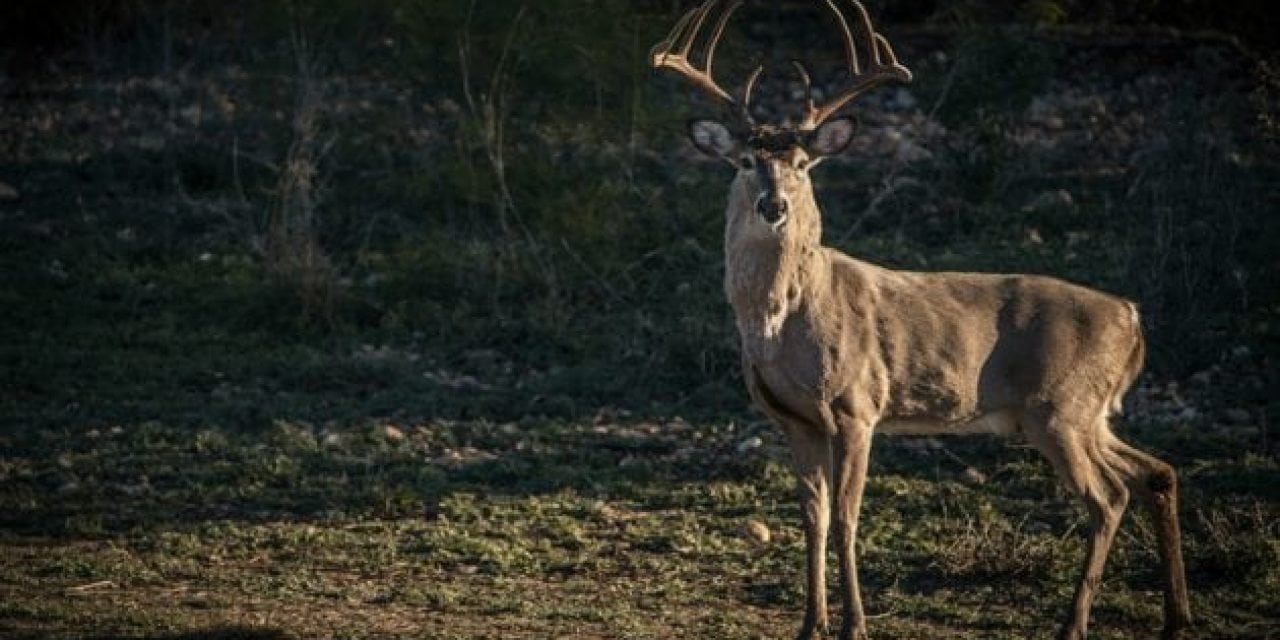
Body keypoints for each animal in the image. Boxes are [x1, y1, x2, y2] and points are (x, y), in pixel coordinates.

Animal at [655, 1, 1192, 640]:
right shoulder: (793, 418)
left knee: (1108, 497)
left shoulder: (857, 405)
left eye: (804, 164)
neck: (783, 325)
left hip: (1061, 407)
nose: (774, 205)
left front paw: (855, 625)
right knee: (1156, 472)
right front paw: (810, 624)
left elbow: (847, 517)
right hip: (1085, 414)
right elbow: (813, 517)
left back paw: (1074, 624)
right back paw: (1176, 616)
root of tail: (1132, 317)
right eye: (743, 162)